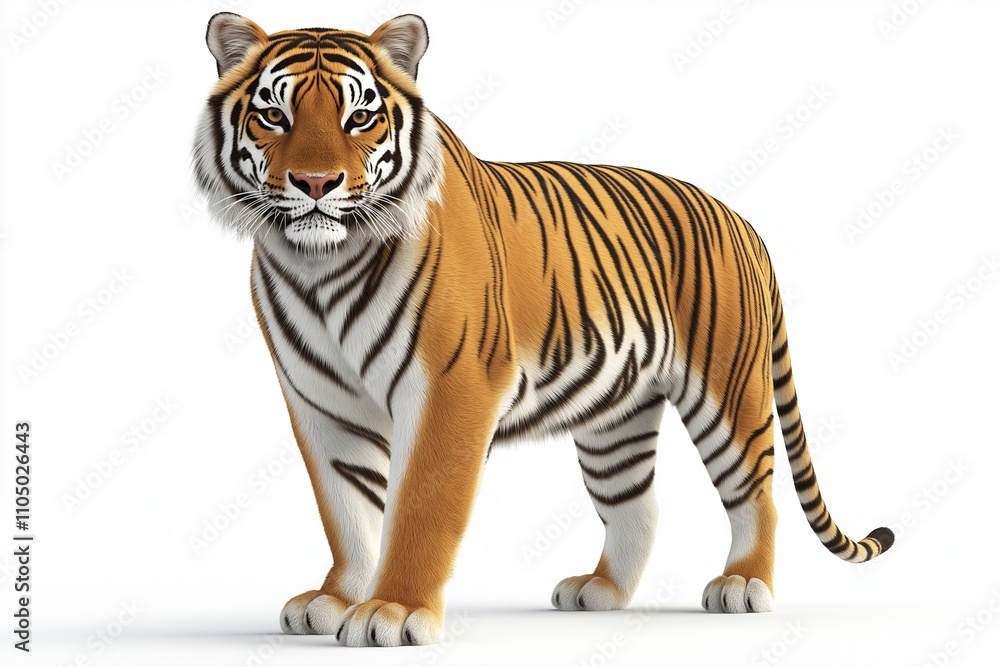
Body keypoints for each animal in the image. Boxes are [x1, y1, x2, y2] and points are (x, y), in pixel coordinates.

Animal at [192, 12, 894, 647]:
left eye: (359, 118)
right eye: (274, 115)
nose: (316, 183)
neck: (320, 266)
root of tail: (743, 221)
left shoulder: (451, 389)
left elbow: (419, 508)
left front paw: (393, 612)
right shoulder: (320, 402)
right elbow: (346, 509)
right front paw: (336, 600)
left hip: (729, 389)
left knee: (756, 492)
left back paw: (744, 585)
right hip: (616, 417)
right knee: (638, 506)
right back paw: (600, 592)